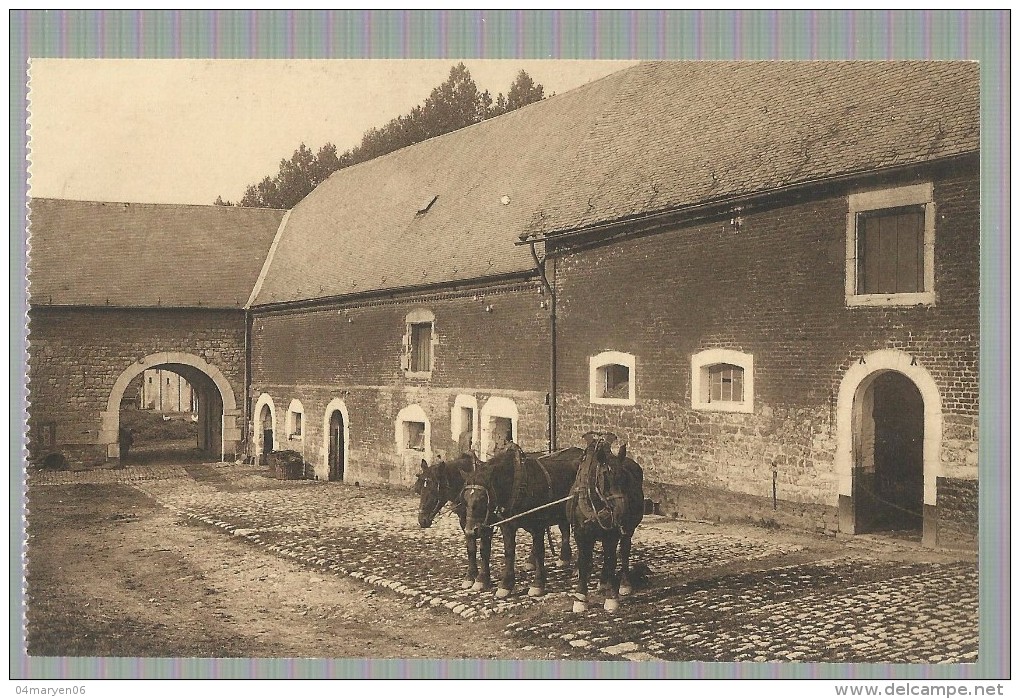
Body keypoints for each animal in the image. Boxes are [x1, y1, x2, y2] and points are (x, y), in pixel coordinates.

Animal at [463, 444, 583, 595]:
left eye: (483, 497)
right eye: (465, 498)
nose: (470, 531)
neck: (518, 484)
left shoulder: (538, 524)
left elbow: (539, 551)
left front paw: (538, 584)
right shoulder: (506, 525)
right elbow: (508, 551)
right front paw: (505, 584)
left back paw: (578, 568)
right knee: (565, 529)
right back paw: (564, 558)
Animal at [567, 430, 644, 612]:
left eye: (625, 478)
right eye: (605, 478)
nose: (622, 513)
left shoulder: (612, 534)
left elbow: (611, 560)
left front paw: (611, 597)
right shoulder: (581, 534)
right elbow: (583, 561)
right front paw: (580, 597)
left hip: (628, 531)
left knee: (624, 552)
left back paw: (623, 584)